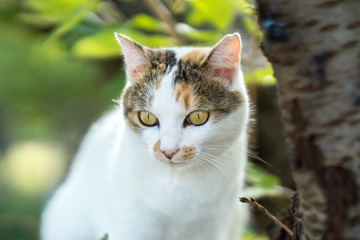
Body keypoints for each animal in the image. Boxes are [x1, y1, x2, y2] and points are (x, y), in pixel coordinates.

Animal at [40, 32, 249, 240]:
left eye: (198, 117)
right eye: (147, 117)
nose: (168, 151)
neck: (176, 184)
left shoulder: (211, 226)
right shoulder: (130, 221)